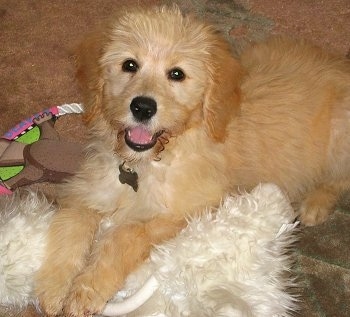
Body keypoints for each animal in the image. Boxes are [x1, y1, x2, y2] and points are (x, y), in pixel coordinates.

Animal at [34, 3, 350, 314]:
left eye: (177, 74)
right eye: (129, 65)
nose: (142, 107)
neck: (149, 162)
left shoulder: (195, 207)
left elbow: (127, 233)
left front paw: (89, 288)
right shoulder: (91, 190)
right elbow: (71, 225)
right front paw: (55, 289)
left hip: (339, 137)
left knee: (340, 178)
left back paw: (316, 204)